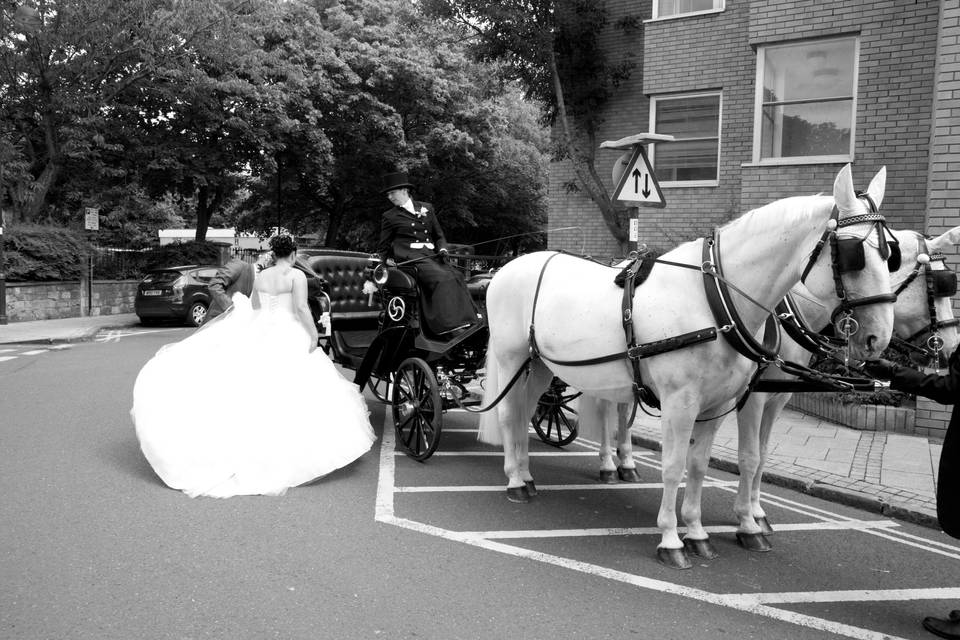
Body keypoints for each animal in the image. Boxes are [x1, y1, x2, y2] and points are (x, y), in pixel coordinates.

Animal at [484, 165, 896, 568]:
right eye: (854, 253)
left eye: (890, 254)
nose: (878, 338)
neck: (714, 301)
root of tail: (505, 269)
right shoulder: (684, 402)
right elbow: (675, 464)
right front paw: (672, 538)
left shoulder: (719, 404)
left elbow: (700, 465)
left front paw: (698, 532)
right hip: (511, 359)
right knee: (507, 414)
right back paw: (516, 482)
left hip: (539, 366)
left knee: (525, 413)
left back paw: (526, 474)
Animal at [732, 224, 956, 544]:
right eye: (936, 287)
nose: (952, 348)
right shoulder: (752, 398)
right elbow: (749, 457)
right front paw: (745, 521)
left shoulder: (777, 398)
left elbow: (762, 456)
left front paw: (756, 513)